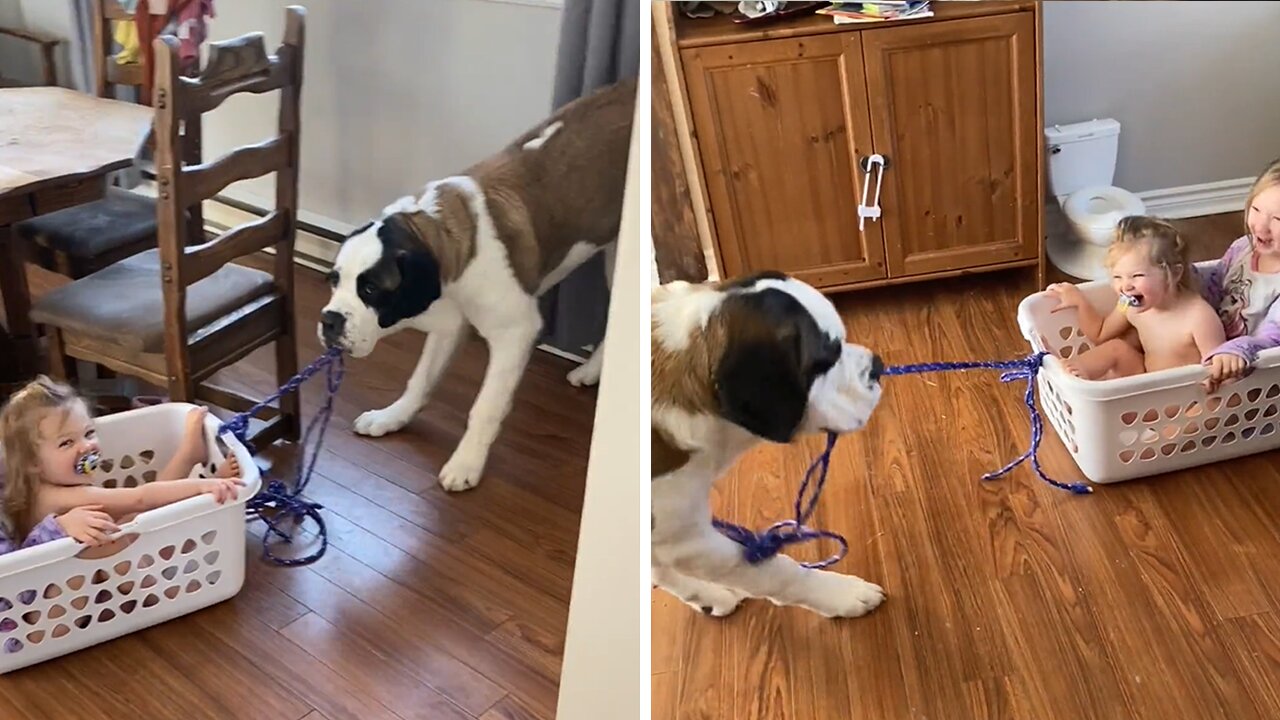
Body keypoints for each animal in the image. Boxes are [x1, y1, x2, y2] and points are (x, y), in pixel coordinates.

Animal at [318, 79, 634, 491]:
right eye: (334, 280)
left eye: (370, 289)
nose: (329, 320)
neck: (439, 234)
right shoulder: (449, 325)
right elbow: (421, 379)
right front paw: (393, 416)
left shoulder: (515, 332)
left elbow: (484, 407)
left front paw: (466, 463)